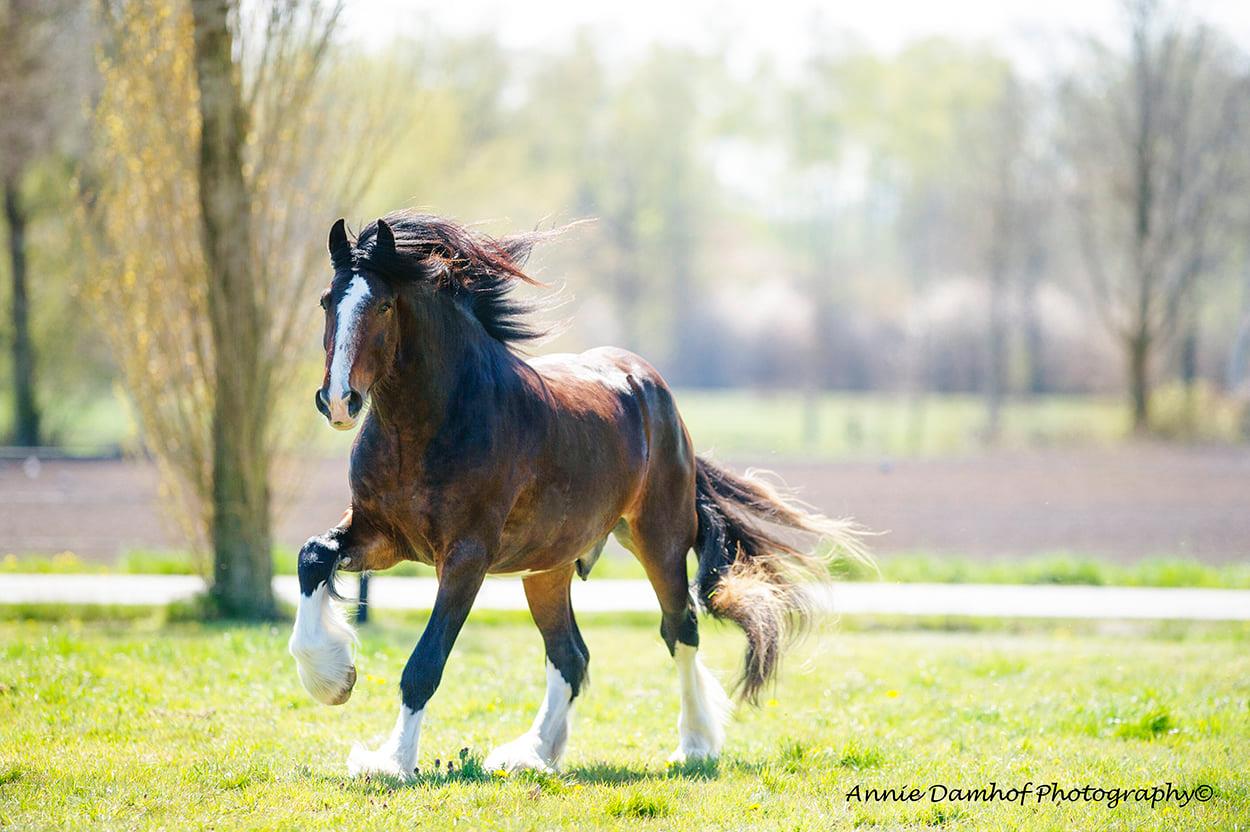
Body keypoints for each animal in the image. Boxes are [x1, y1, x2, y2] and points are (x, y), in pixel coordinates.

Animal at [287, 208, 865, 779]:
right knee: (571, 655)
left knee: (680, 629)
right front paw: (333, 679)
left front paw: (392, 762)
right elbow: (313, 555)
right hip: (547, 566)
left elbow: (425, 663)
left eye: (384, 305)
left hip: (658, 541)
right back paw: (532, 754)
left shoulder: (466, 557)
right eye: (327, 300)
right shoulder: (384, 536)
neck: (428, 425)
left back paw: (694, 745)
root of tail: (654, 391)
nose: (338, 401)